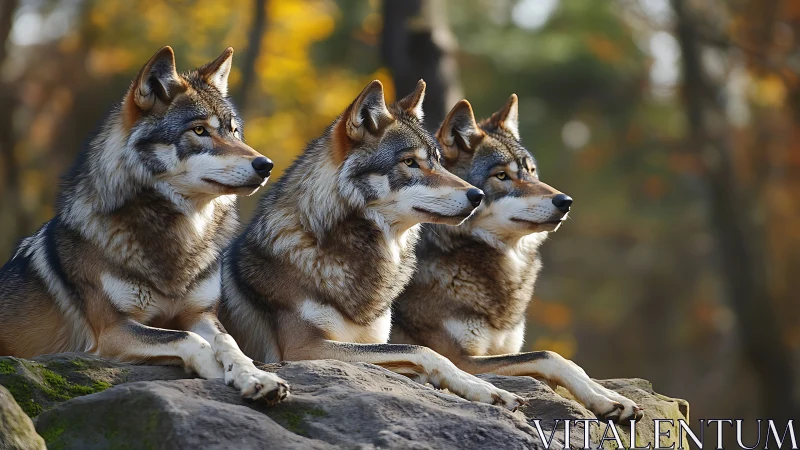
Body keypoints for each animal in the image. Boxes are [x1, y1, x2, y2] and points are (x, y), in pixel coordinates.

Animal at [0, 46, 288, 404]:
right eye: (199, 131)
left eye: (233, 131)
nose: (266, 165)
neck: (180, 235)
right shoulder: (113, 332)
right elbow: (188, 340)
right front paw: (217, 372)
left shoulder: (200, 314)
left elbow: (229, 342)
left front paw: (255, 375)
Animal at [220, 79, 524, 409]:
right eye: (410, 162)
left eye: (438, 162)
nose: (477, 195)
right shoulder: (304, 349)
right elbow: (424, 351)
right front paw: (485, 388)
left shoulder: (371, 343)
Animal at [391, 96, 643, 422]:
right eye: (502, 175)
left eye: (532, 172)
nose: (565, 201)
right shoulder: (461, 358)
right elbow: (551, 356)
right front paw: (604, 399)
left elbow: (570, 363)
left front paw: (611, 397)